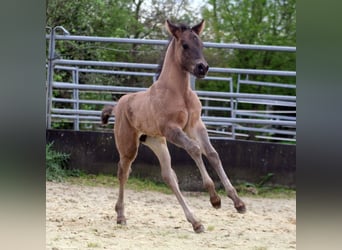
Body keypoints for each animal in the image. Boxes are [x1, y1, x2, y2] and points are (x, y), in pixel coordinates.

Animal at [101, 19, 246, 232]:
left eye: (201, 44)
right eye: (185, 45)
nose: (202, 68)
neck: (179, 92)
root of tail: (118, 105)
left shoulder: (195, 125)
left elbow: (212, 154)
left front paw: (238, 202)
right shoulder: (172, 130)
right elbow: (195, 149)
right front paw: (214, 198)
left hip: (156, 142)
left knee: (168, 176)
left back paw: (195, 222)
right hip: (128, 146)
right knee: (123, 172)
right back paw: (120, 216)